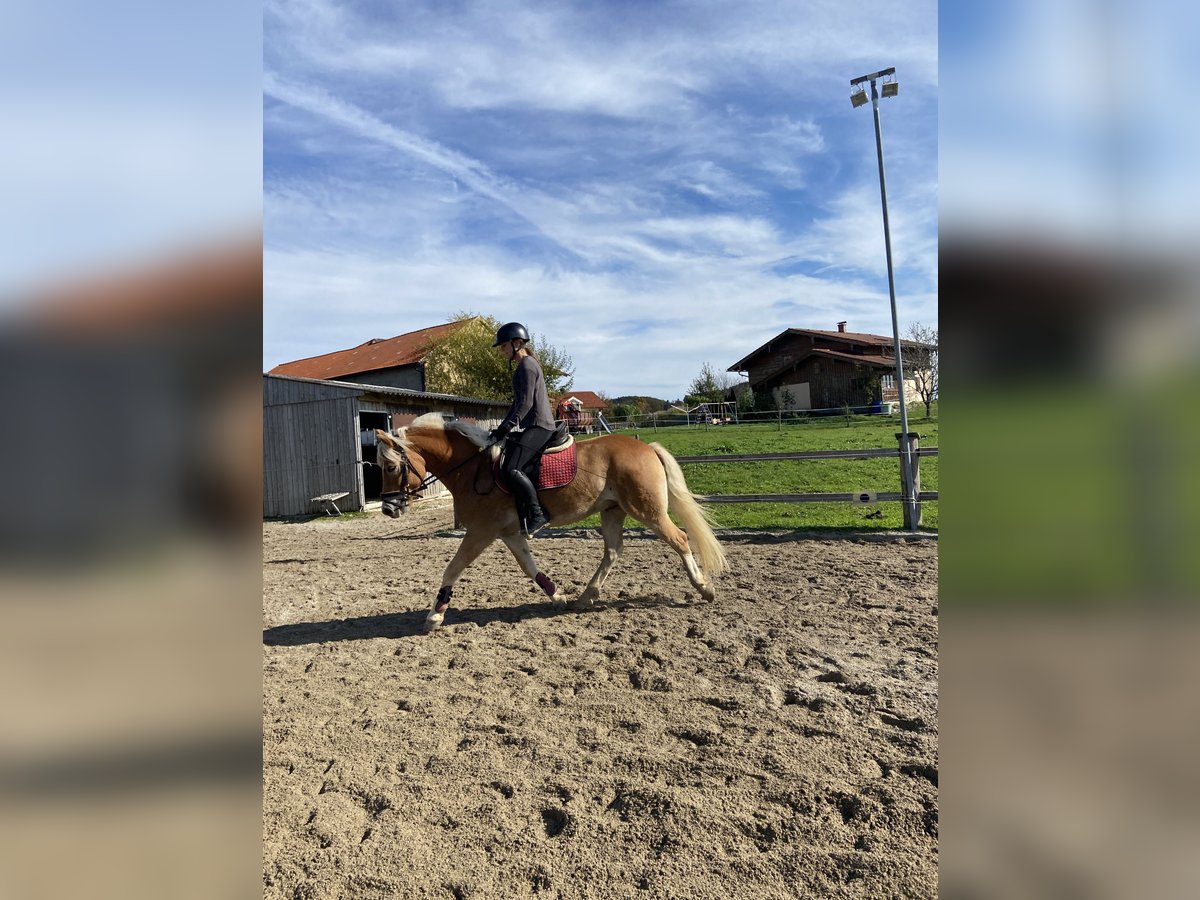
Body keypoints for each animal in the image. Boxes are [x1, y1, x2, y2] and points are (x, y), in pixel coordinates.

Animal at [379, 415, 724, 628]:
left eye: (391, 467)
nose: (388, 509)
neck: (472, 467)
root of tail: (646, 448)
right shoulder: (508, 532)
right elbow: (529, 567)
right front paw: (557, 595)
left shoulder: (481, 531)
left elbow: (453, 568)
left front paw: (435, 616)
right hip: (612, 510)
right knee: (613, 551)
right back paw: (584, 598)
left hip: (647, 510)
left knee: (679, 539)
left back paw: (705, 589)